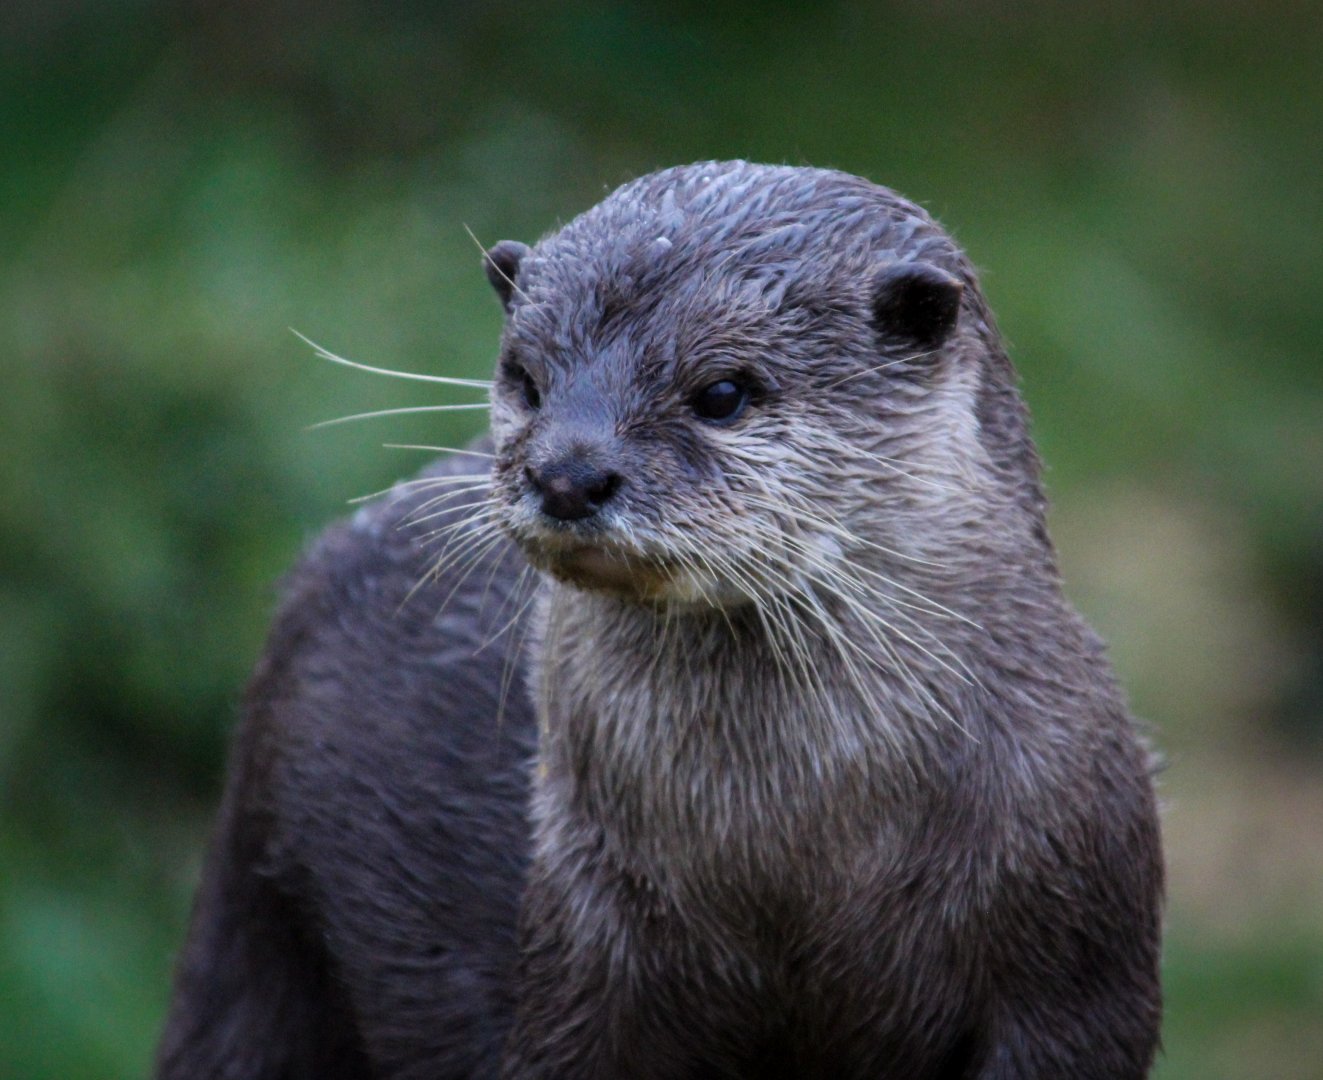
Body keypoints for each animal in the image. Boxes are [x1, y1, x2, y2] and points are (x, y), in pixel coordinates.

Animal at [157, 162, 1163, 1080]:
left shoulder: (1078, 968)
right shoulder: (580, 947)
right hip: (251, 931)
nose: (567, 472)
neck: (786, 868)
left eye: (722, 393)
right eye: (525, 376)